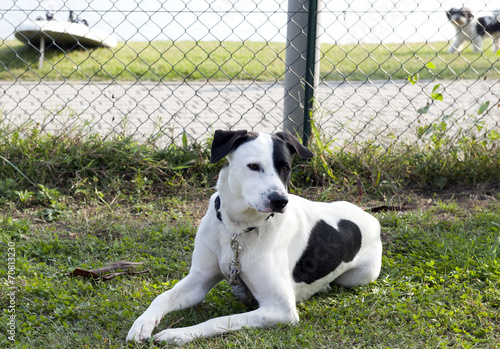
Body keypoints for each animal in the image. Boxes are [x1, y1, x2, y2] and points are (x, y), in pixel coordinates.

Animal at [126, 130, 382, 342]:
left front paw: (179, 334)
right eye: (253, 166)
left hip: (360, 276)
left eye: (285, 168)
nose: (280, 201)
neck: (238, 229)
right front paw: (143, 323)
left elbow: (222, 320)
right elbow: (162, 297)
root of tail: (370, 218)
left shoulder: (280, 310)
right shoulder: (198, 280)